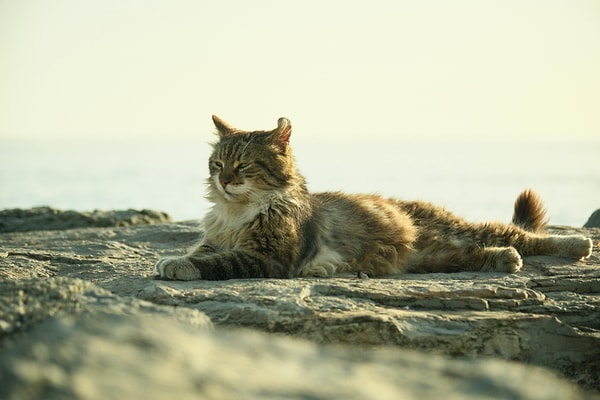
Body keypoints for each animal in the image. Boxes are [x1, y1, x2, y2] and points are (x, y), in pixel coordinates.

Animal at [154, 115, 592, 282]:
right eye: (217, 164)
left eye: (242, 166)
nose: (224, 181)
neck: (237, 211)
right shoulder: (217, 239)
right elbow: (202, 252)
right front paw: (176, 259)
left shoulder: (268, 256)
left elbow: (216, 262)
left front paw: (174, 265)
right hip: (440, 257)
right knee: (487, 252)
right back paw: (505, 260)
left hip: (462, 230)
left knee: (524, 236)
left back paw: (579, 244)